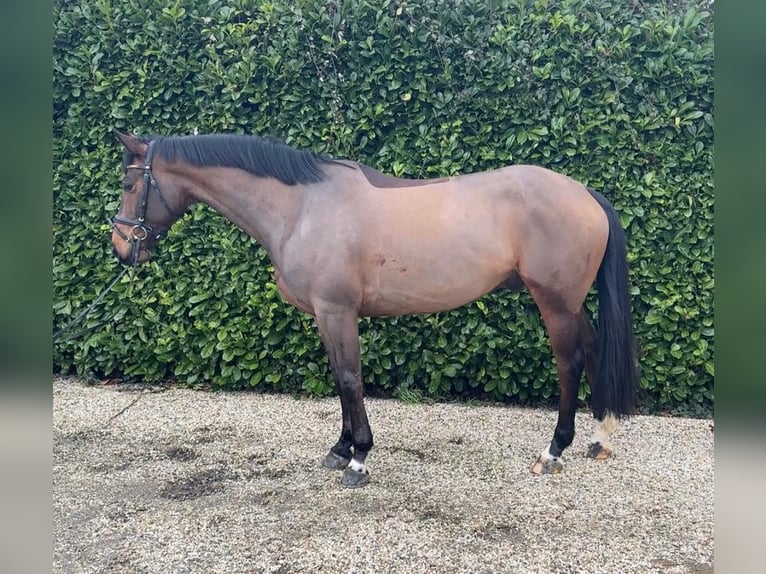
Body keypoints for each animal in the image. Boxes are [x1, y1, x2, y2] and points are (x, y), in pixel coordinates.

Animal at [110, 130, 639, 488]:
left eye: (131, 185)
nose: (121, 248)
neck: (301, 208)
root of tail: (584, 193)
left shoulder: (337, 310)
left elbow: (349, 378)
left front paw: (359, 458)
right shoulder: (327, 315)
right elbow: (340, 379)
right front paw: (340, 449)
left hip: (555, 302)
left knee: (571, 362)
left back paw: (554, 450)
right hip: (572, 304)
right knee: (594, 351)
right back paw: (600, 437)